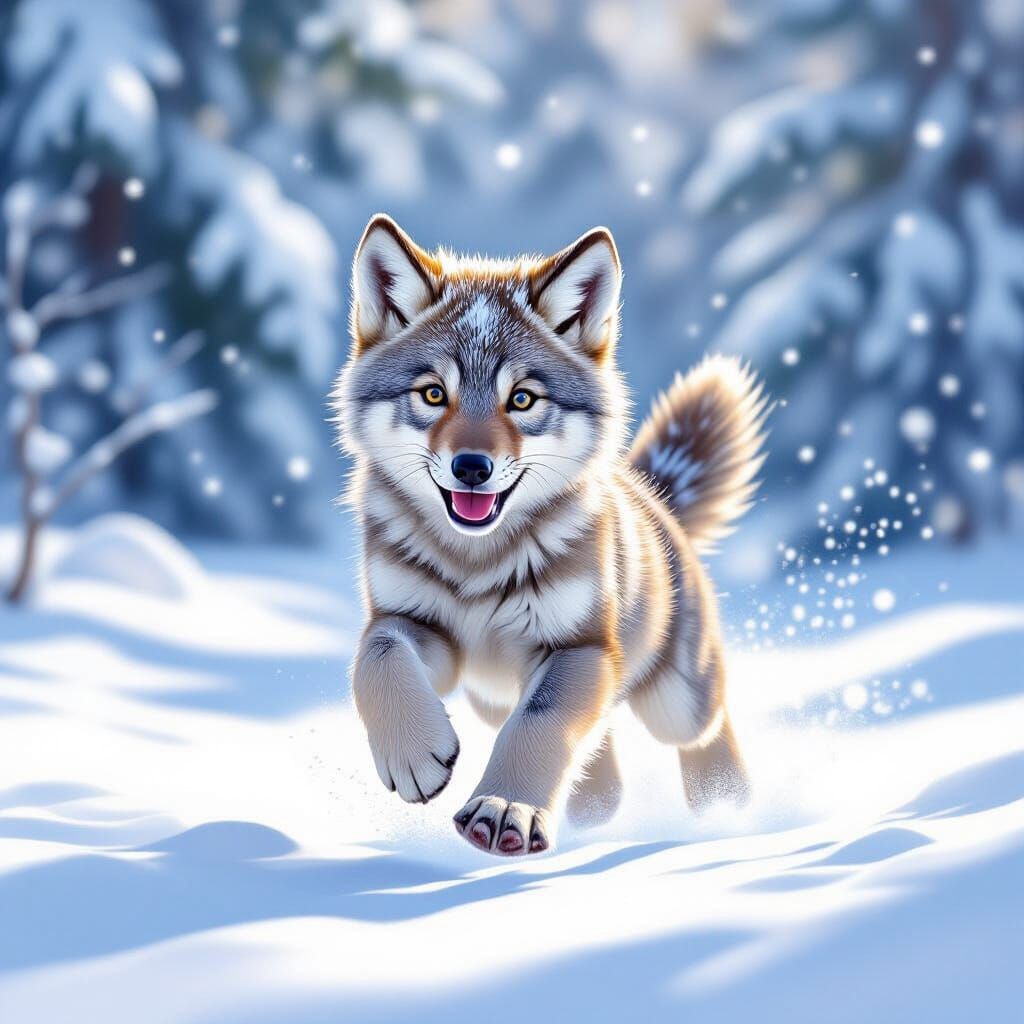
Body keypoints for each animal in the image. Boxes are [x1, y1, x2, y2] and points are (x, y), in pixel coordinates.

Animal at [333, 214, 769, 857]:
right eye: (434, 393)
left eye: (522, 399)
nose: (471, 467)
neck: (477, 566)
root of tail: (654, 496)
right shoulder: (414, 624)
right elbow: (376, 657)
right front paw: (413, 754)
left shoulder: (578, 648)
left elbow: (540, 722)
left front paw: (504, 808)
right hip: (494, 698)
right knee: (600, 759)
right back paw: (596, 809)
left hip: (673, 699)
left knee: (702, 729)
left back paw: (725, 808)